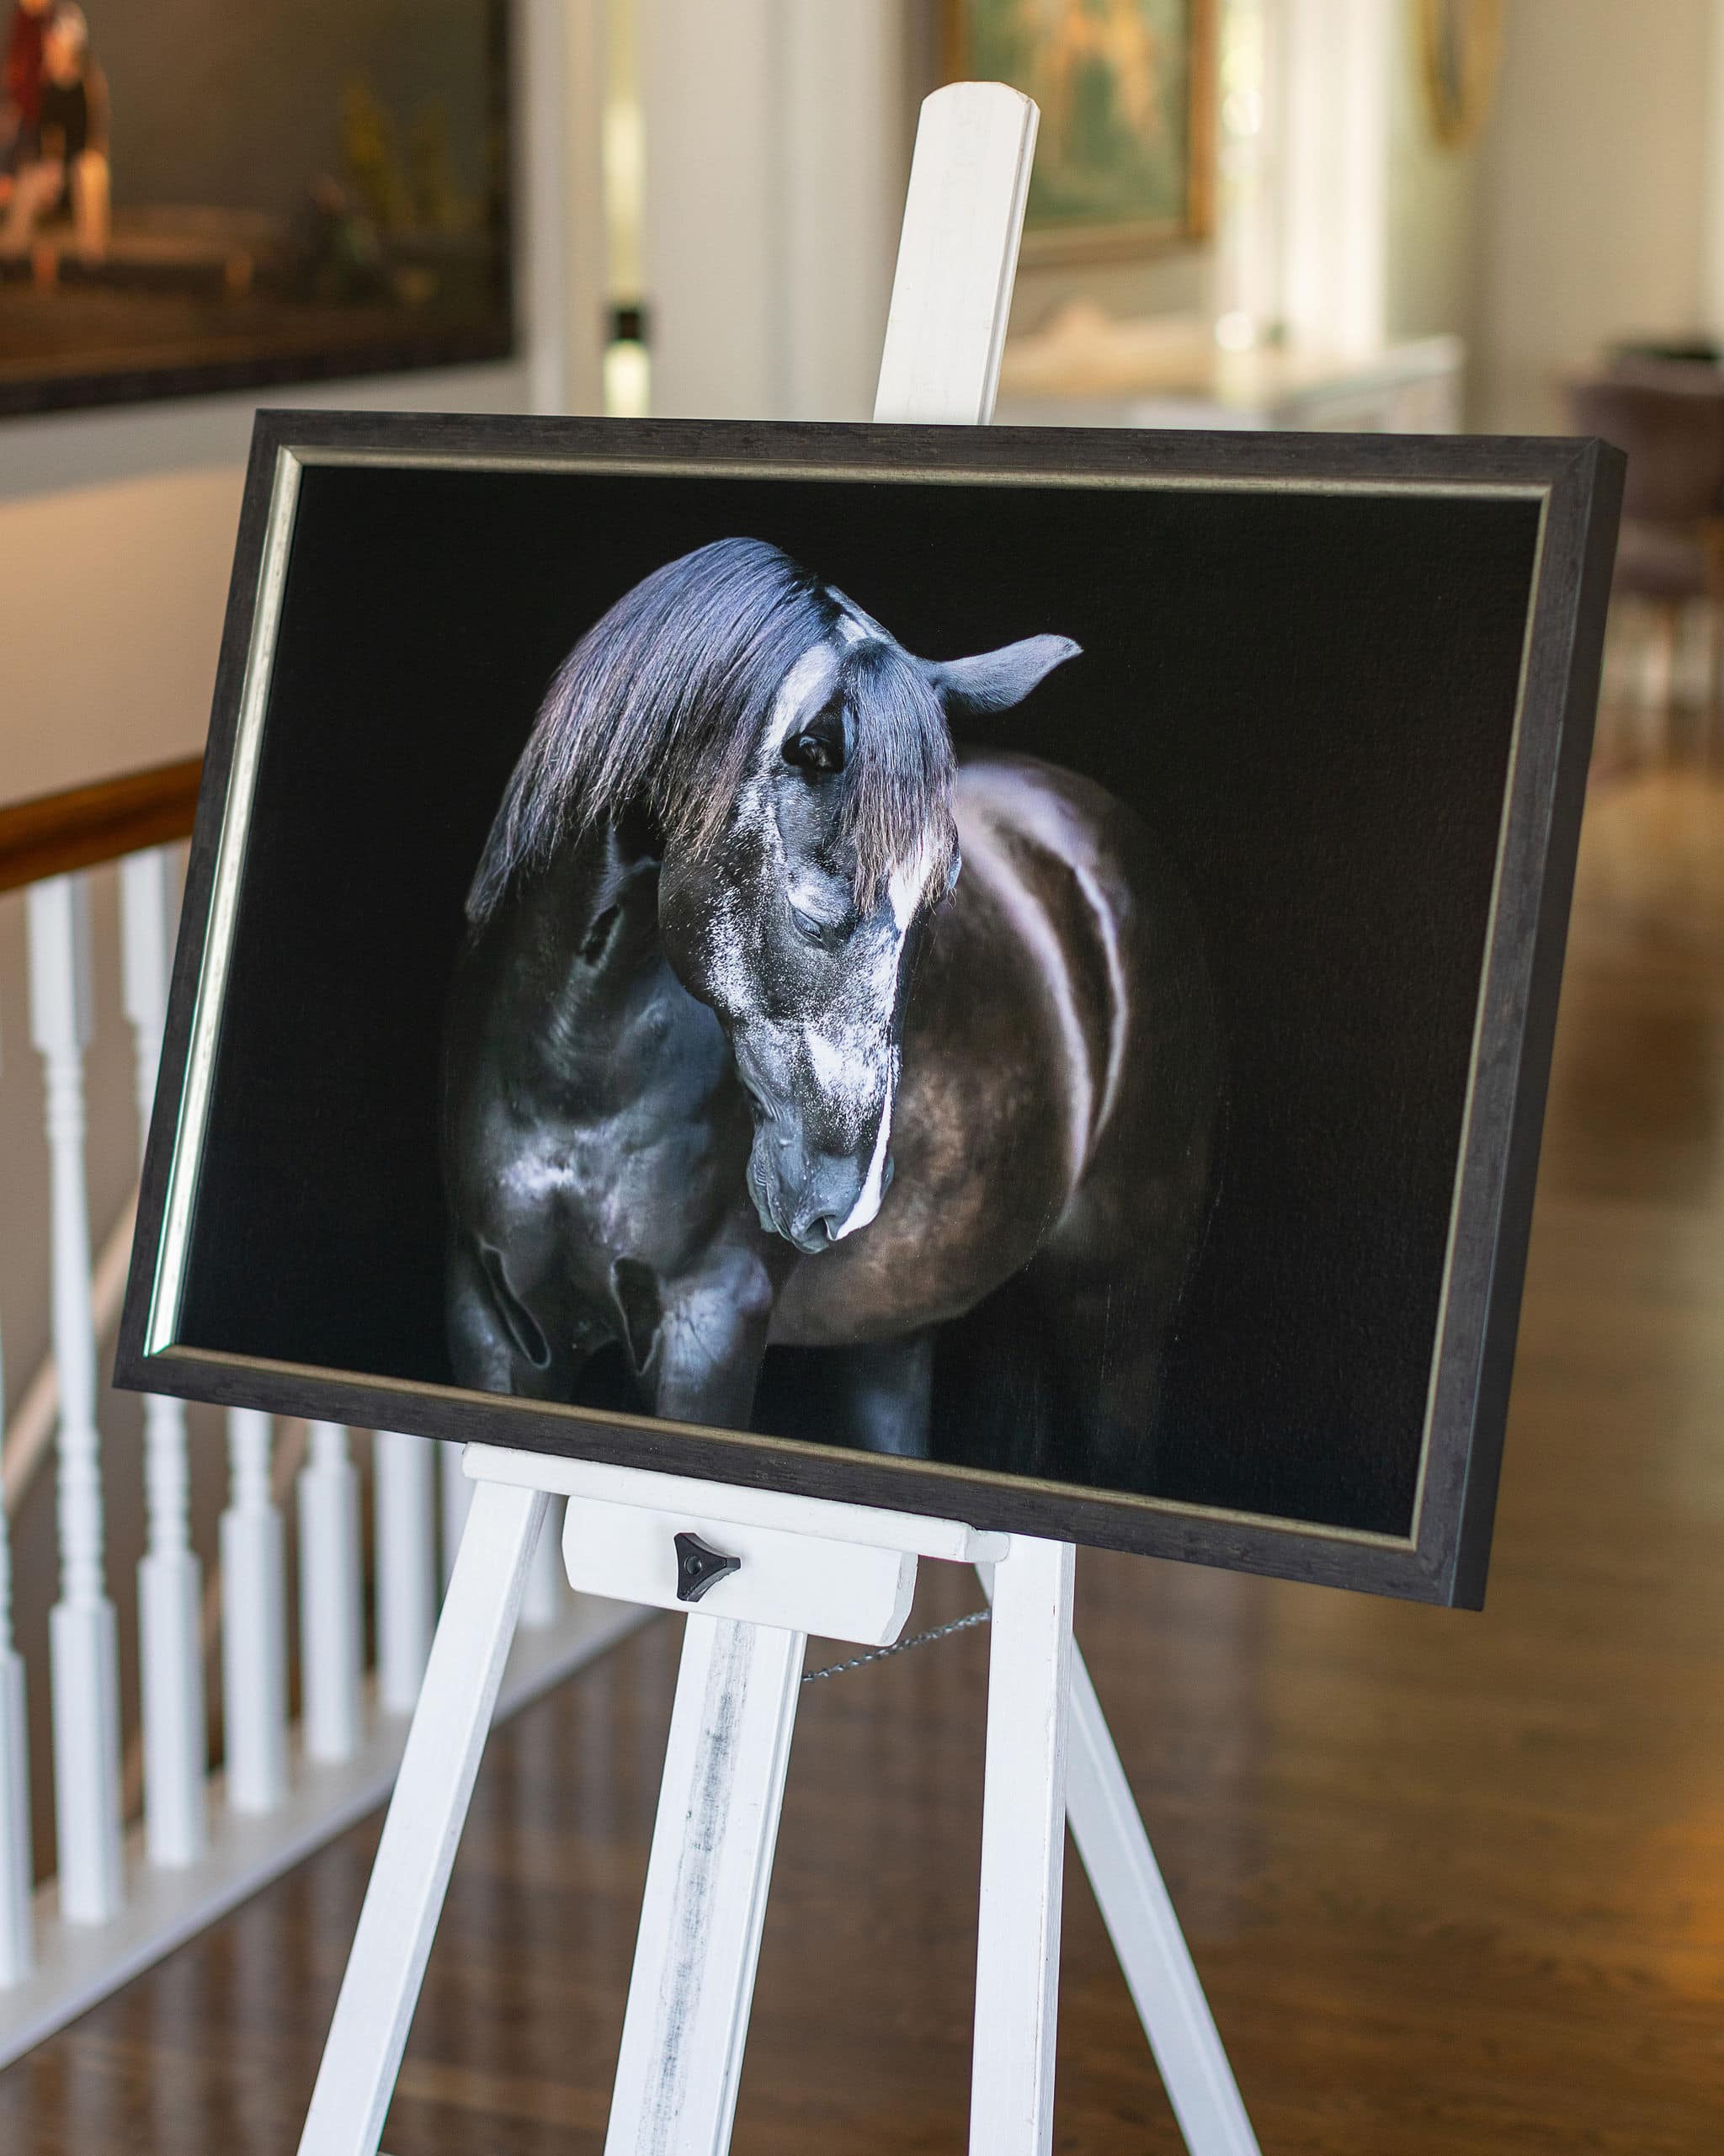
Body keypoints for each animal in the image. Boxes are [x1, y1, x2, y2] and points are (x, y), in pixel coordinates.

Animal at [448, 535, 1224, 1483]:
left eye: (941, 898)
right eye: (816, 905)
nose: (845, 1208)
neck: (575, 1073)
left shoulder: (711, 1330)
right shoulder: (491, 1324)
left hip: (1122, 1321)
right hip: (896, 1329)